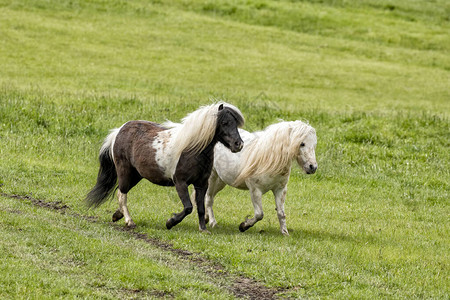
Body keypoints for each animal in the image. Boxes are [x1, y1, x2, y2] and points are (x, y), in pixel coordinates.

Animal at [85, 103, 244, 232]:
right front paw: (170, 222)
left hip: (136, 175)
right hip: (125, 171)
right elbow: (188, 207)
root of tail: (118, 131)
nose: (239, 144)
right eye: (224, 122)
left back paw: (117, 215)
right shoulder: (180, 183)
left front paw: (203, 229)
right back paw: (129, 221)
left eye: (235, 124)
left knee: (120, 192)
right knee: (122, 194)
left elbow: (200, 207)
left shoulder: (201, 184)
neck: (191, 149)